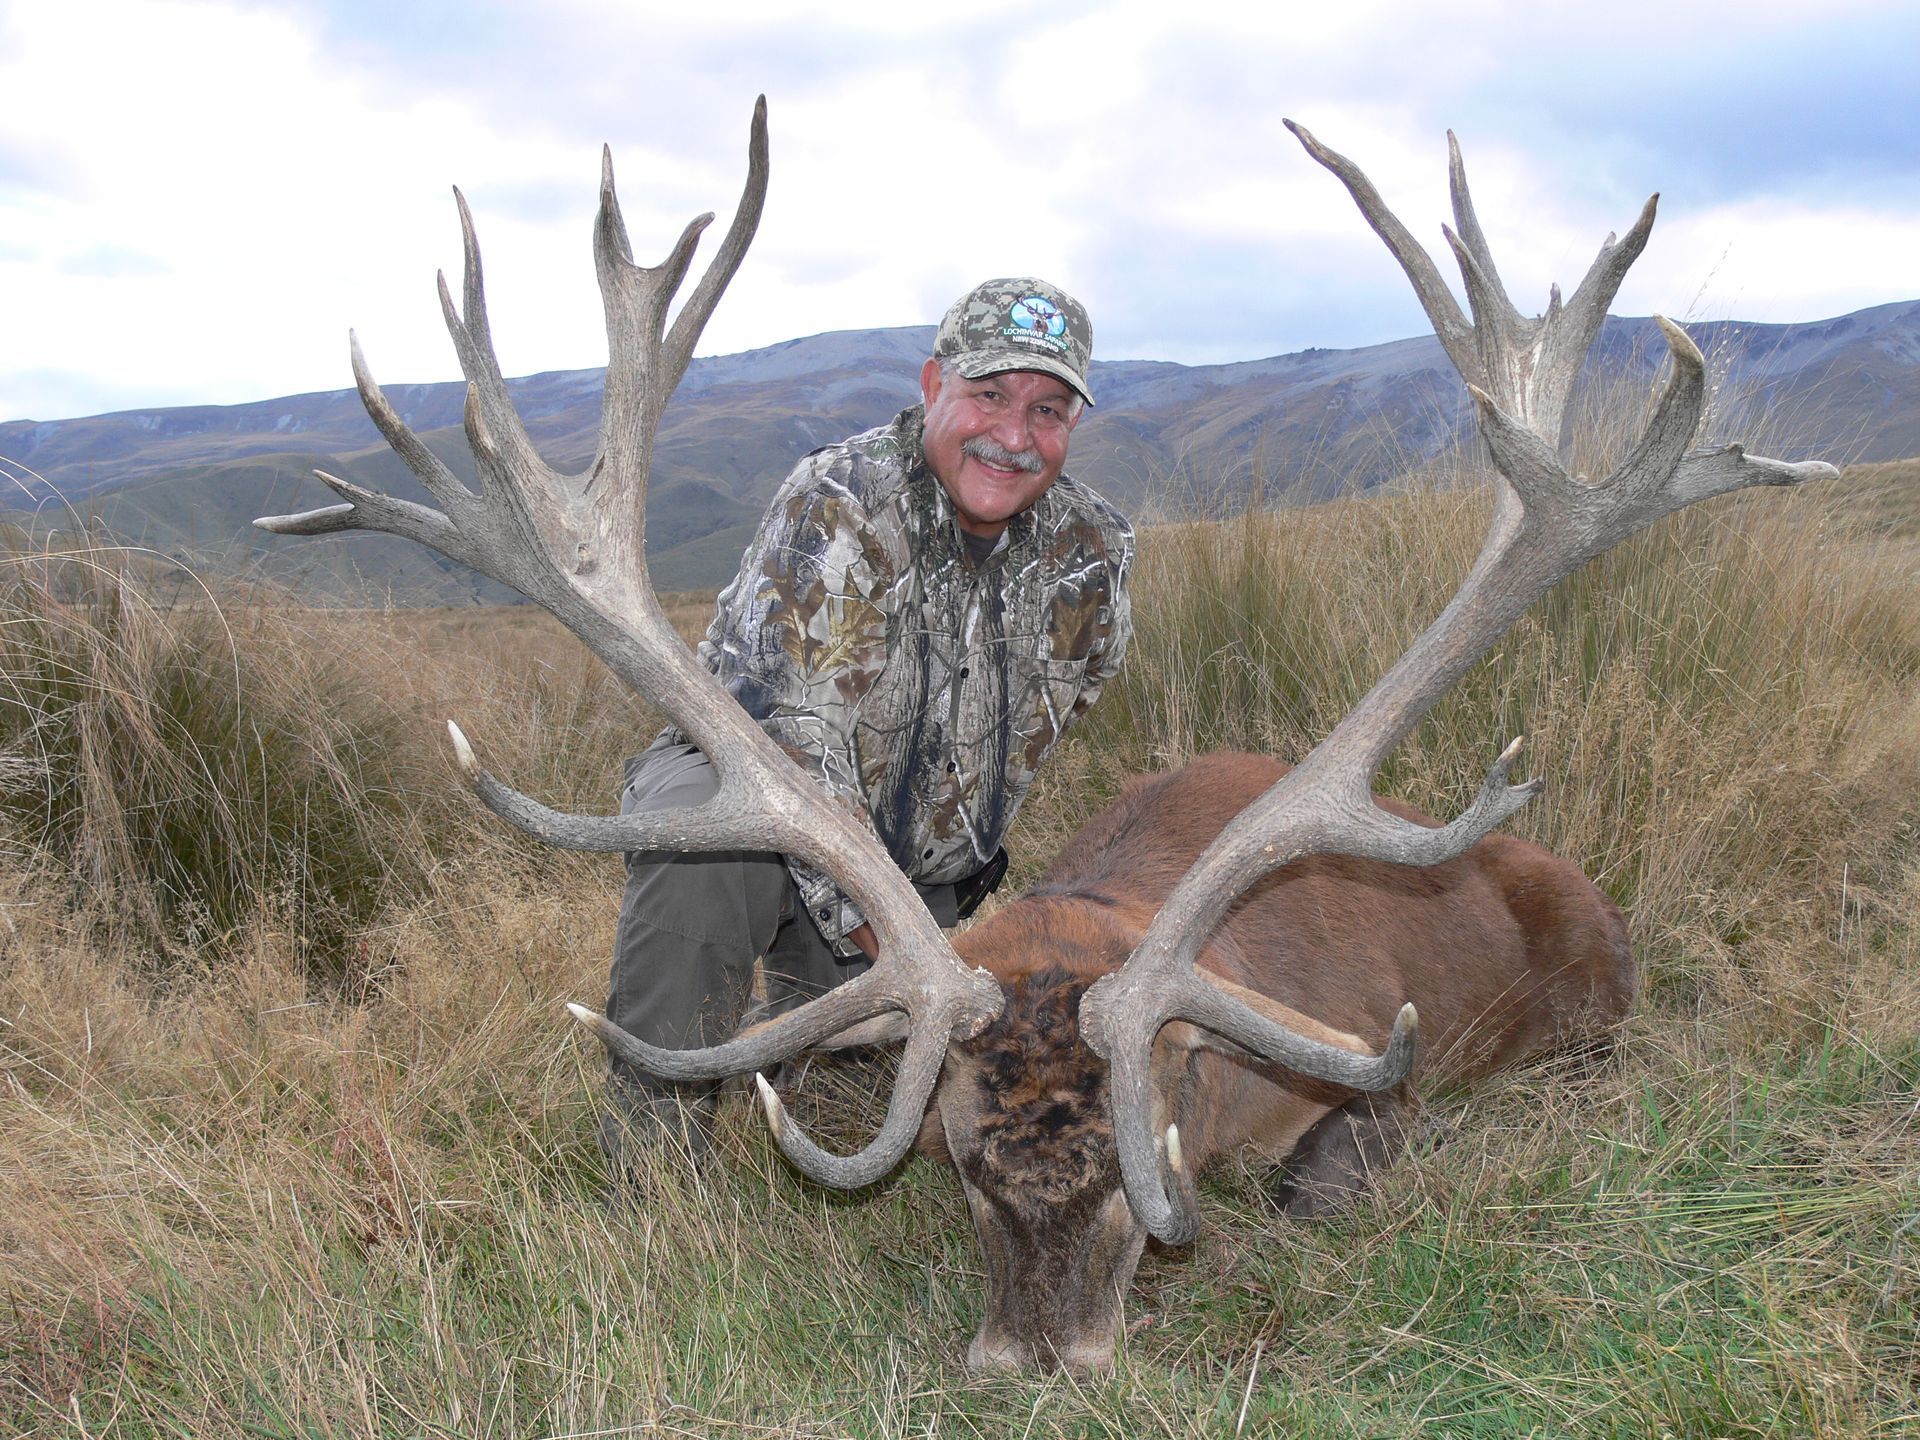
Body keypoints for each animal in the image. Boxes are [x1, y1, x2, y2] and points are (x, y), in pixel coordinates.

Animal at [255, 98, 1835, 1373]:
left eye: (1149, 1165)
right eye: (961, 1158)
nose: (1038, 1359)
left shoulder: (1368, 1067)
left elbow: (1329, 1175)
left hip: (1591, 1011)